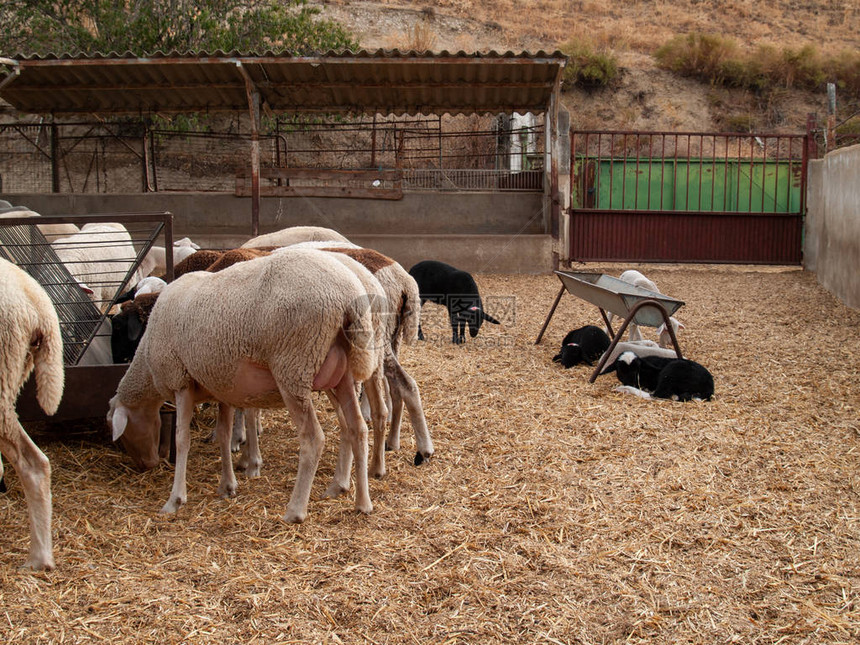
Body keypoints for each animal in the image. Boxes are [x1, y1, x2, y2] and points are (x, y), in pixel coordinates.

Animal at [106, 247, 382, 524]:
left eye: (122, 433)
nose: (145, 465)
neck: (146, 361)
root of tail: (349, 295)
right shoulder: (221, 386)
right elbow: (224, 434)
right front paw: (227, 485)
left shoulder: (180, 381)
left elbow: (182, 438)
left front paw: (175, 499)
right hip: (341, 374)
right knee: (357, 429)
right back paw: (361, 502)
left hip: (294, 368)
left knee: (313, 438)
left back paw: (295, 510)